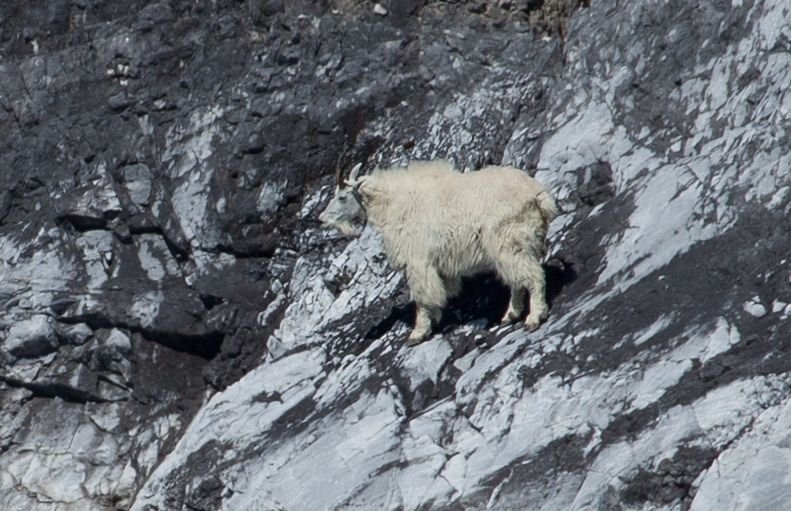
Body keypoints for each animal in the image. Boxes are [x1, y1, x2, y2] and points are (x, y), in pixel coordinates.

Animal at [318, 158, 560, 346]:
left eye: (342, 196)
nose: (321, 219)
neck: (392, 203)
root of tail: (538, 195)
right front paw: (434, 320)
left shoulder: (418, 261)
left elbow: (422, 297)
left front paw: (418, 333)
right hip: (514, 246)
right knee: (517, 280)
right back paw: (510, 315)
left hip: (509, 241)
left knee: (533, 277)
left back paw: (534, 318)